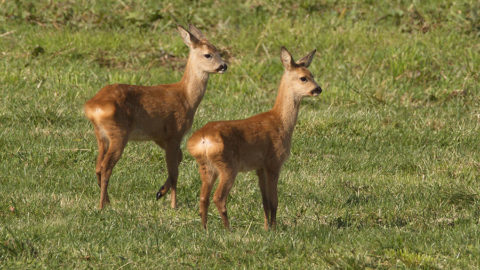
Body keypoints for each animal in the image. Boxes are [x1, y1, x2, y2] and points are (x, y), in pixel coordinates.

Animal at [85, 25, 229, 210]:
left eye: (218, 51)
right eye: (208, 54)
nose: (224, 66)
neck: (186, 97)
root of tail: (93, 106)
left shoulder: (160, 136)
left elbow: (178, 159)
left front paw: (160, 192)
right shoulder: (175, 132)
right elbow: (174, 171)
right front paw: (174, 205)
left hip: (101, 135)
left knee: (98, 165)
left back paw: (108, 200)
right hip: (118, 132)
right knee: (106, 166)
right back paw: (102, 205)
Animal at [188, 46, 322, 230]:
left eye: (312, 74)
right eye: (303, 78)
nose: (318, 89)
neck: (280, 121)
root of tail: (203, 139)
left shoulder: (259, 167)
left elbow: (264, 201)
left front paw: (266, 228)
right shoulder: (274, 162)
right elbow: (274, 201)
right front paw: (274, 229)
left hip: (206, 166)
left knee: (203, 198)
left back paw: (205, 229)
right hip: (228, 165)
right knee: (218, 197)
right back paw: (228, 230)